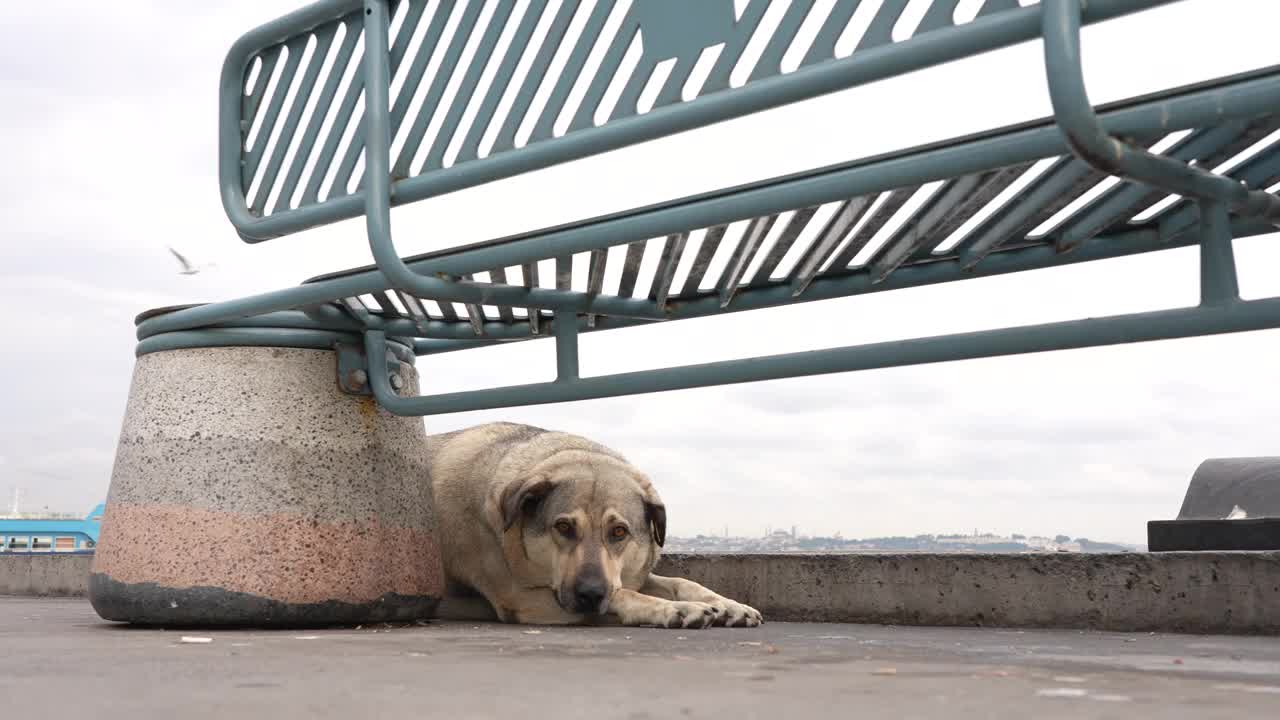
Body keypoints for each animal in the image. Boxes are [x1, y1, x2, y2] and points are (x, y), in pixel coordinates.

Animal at [430, 422, 762, 625]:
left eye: (619, 532)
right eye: (563, 528)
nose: (590, 594)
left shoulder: (630, 574)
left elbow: (681, 582)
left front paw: (728, 605)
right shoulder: (522, 599)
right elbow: (623, 594)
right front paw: (672, 608)